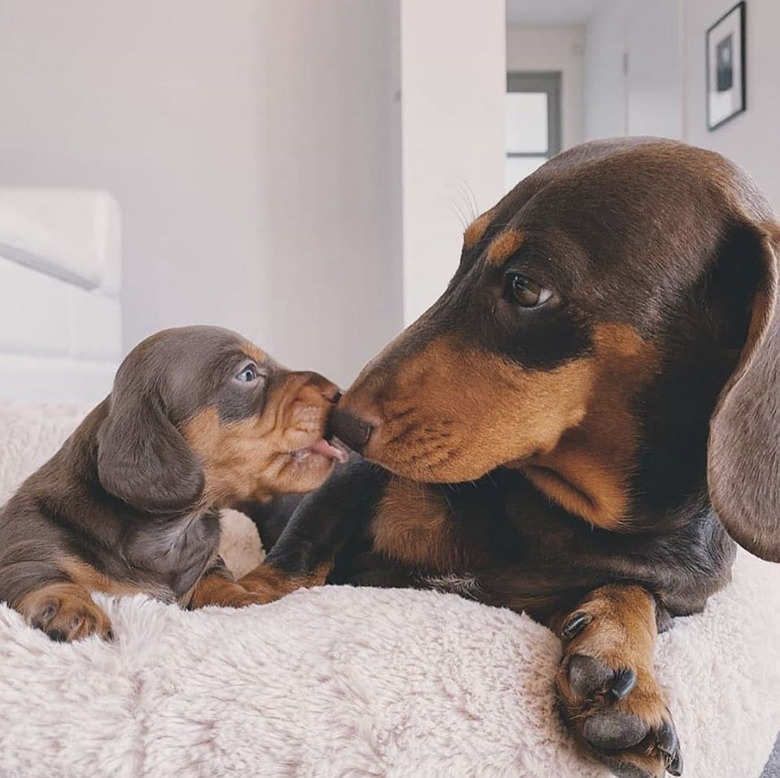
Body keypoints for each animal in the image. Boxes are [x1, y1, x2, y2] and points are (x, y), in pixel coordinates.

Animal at [0, 324, 344, 640]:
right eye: (247, 374)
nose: (339, 393)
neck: (176, 528)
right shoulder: (25, 553)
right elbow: (43, 575)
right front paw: (73, 608)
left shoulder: (209, 562)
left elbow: (217, 579)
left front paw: (241, 597)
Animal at [241, 139, 780, 776]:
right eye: (461, 259)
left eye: (525, 287)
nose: (340, 425)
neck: (564, 510)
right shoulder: (353, 484)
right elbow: (296, 558)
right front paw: (235, 597)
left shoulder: (669, 595)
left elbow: (636, 594)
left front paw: (621, 667)